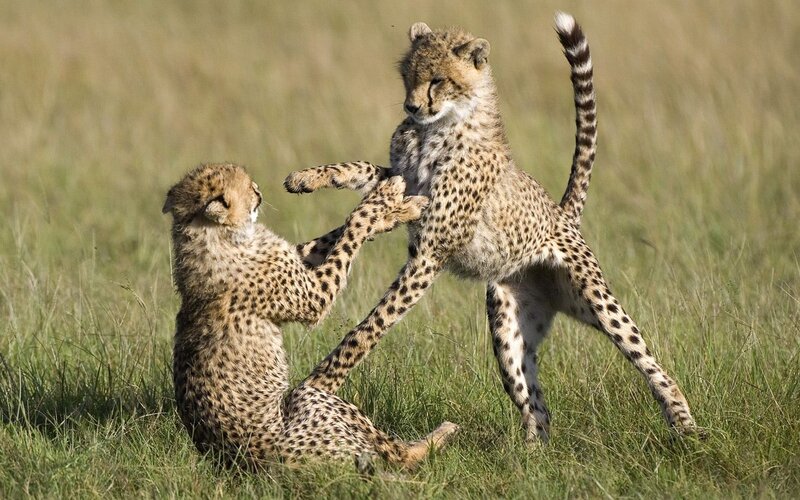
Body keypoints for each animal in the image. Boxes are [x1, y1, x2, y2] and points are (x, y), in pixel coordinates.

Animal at [162, 162, 459, 470]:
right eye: (247, 188)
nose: (259, 190)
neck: (212, 237)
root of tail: (245, 462)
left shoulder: (296, 258)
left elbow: (332, 234)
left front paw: (396, 209)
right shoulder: (315, 296)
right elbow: (354, 224)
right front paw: (385, 198)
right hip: (312, 400)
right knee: (399, 456)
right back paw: (443, 433)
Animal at [284, 12, 698, 443]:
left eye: (438, 79)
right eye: (407, 76)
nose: (411, 106)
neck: (438, 127)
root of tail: (561, 214)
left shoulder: (430, 251)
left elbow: (370, 326)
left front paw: (320, 383)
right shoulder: (405, 184)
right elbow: (363, 178)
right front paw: (307, 180)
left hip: (596, 302)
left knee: (647, 359)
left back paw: (686, 427)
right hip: (508, 330)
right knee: (536, 406)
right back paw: (530, 455)